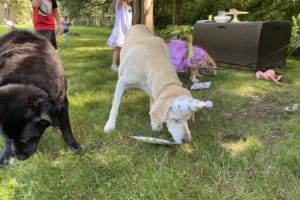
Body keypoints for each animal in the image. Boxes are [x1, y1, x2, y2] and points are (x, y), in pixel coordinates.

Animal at [0, 30, 82, 166]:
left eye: (27, 139)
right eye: (10, 137)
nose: (20, 157)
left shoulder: (62, 101)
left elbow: (66, 127)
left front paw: (73, 145)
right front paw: (7, 155)